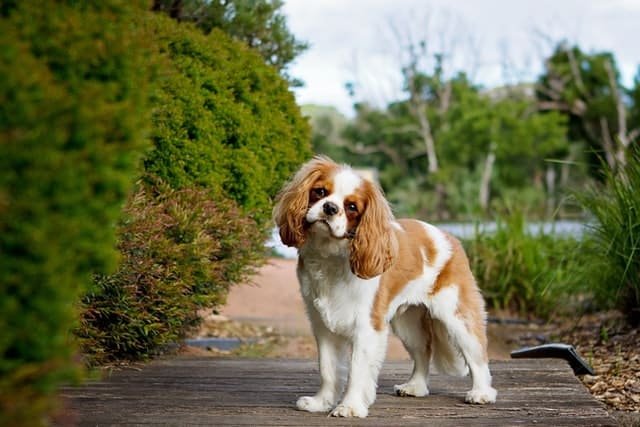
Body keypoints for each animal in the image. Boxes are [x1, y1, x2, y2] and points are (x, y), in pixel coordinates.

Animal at [272, 156, 498, 418]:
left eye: (351, 207)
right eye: (320, 192)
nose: (330, 208)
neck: (330, 255)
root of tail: (449, 236)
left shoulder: (367, 327)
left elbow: (357, 371)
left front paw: (350, 406)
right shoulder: (322, 326)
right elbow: (327, 369)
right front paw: (321, 402)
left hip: (456, 315)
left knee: (477, 354)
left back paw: (482, 393)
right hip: (408, 323)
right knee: (424, 351)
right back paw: (415, 387)